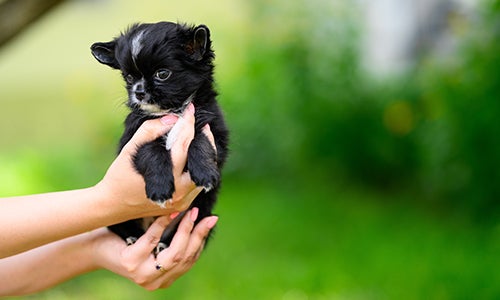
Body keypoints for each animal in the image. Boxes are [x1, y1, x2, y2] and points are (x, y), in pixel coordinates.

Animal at [90, 21, 229, 253]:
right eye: (129, 77)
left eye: (162, 74)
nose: (138, 92)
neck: (172, 111)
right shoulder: (133, 140)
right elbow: (151, 150)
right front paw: (160, 188)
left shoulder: (215, 132)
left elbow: (199, 139)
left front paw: (205, 173)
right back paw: (133, 237)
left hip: (202, 213)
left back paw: (164, 244)